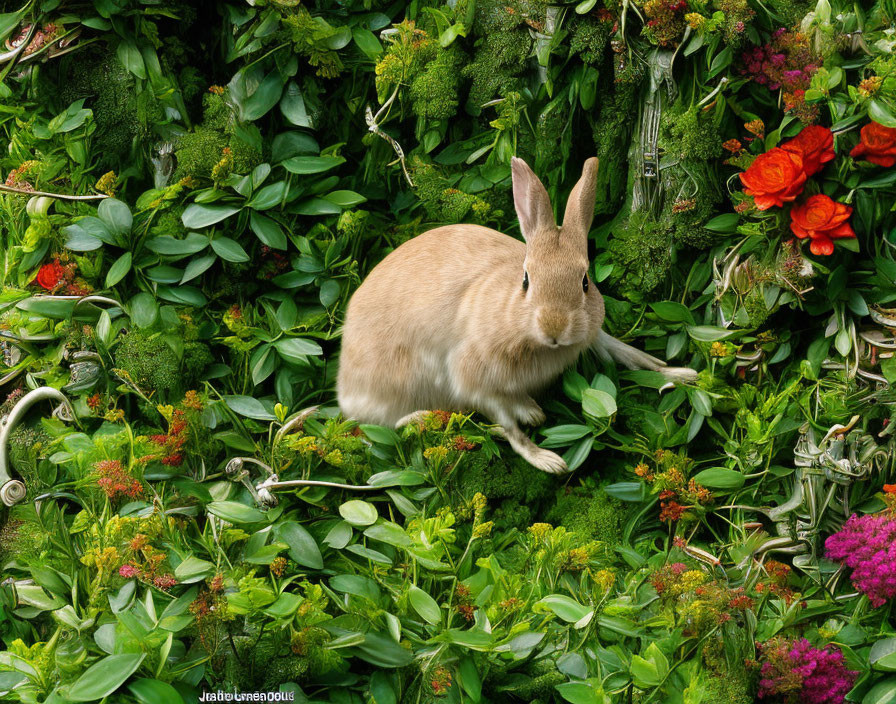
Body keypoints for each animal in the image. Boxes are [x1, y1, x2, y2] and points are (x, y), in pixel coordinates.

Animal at [338, 155, 700, 472]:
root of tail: (344, 389)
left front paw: (683, 375)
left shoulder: (593, 335)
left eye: (585, 281)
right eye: (526, 280)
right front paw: (548, 461)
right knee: (382, 428)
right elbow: (509, 429)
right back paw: (426, 417)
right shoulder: (472, 379)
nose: (554, 327)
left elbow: (633, 356)